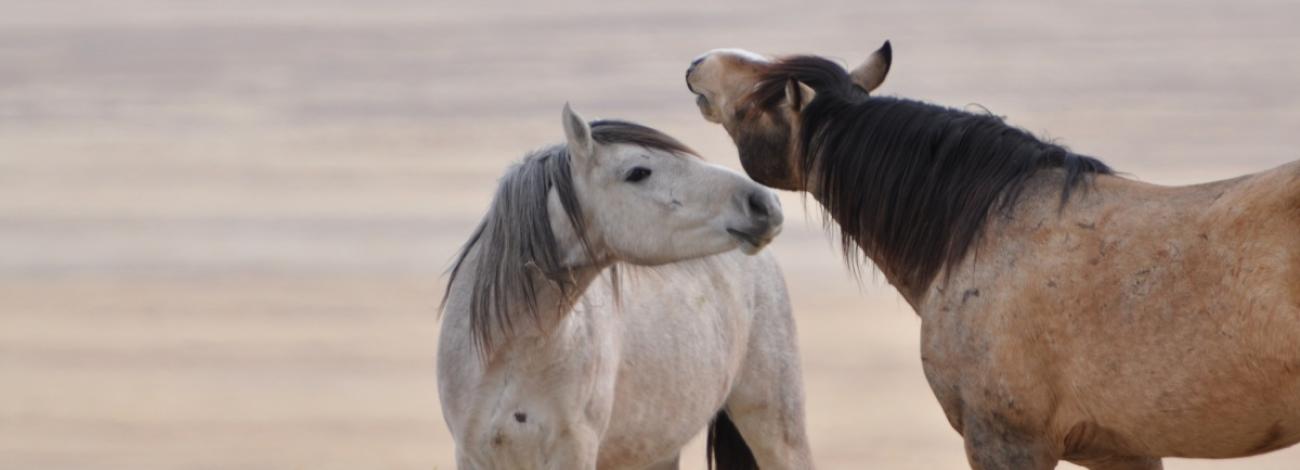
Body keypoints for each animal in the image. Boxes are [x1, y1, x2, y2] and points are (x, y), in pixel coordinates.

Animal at [441, 106, 816, 470]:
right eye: (638, 172)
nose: (764, 203)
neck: (512, 349)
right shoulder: (472, 454)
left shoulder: (574, 451)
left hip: (777, 429)